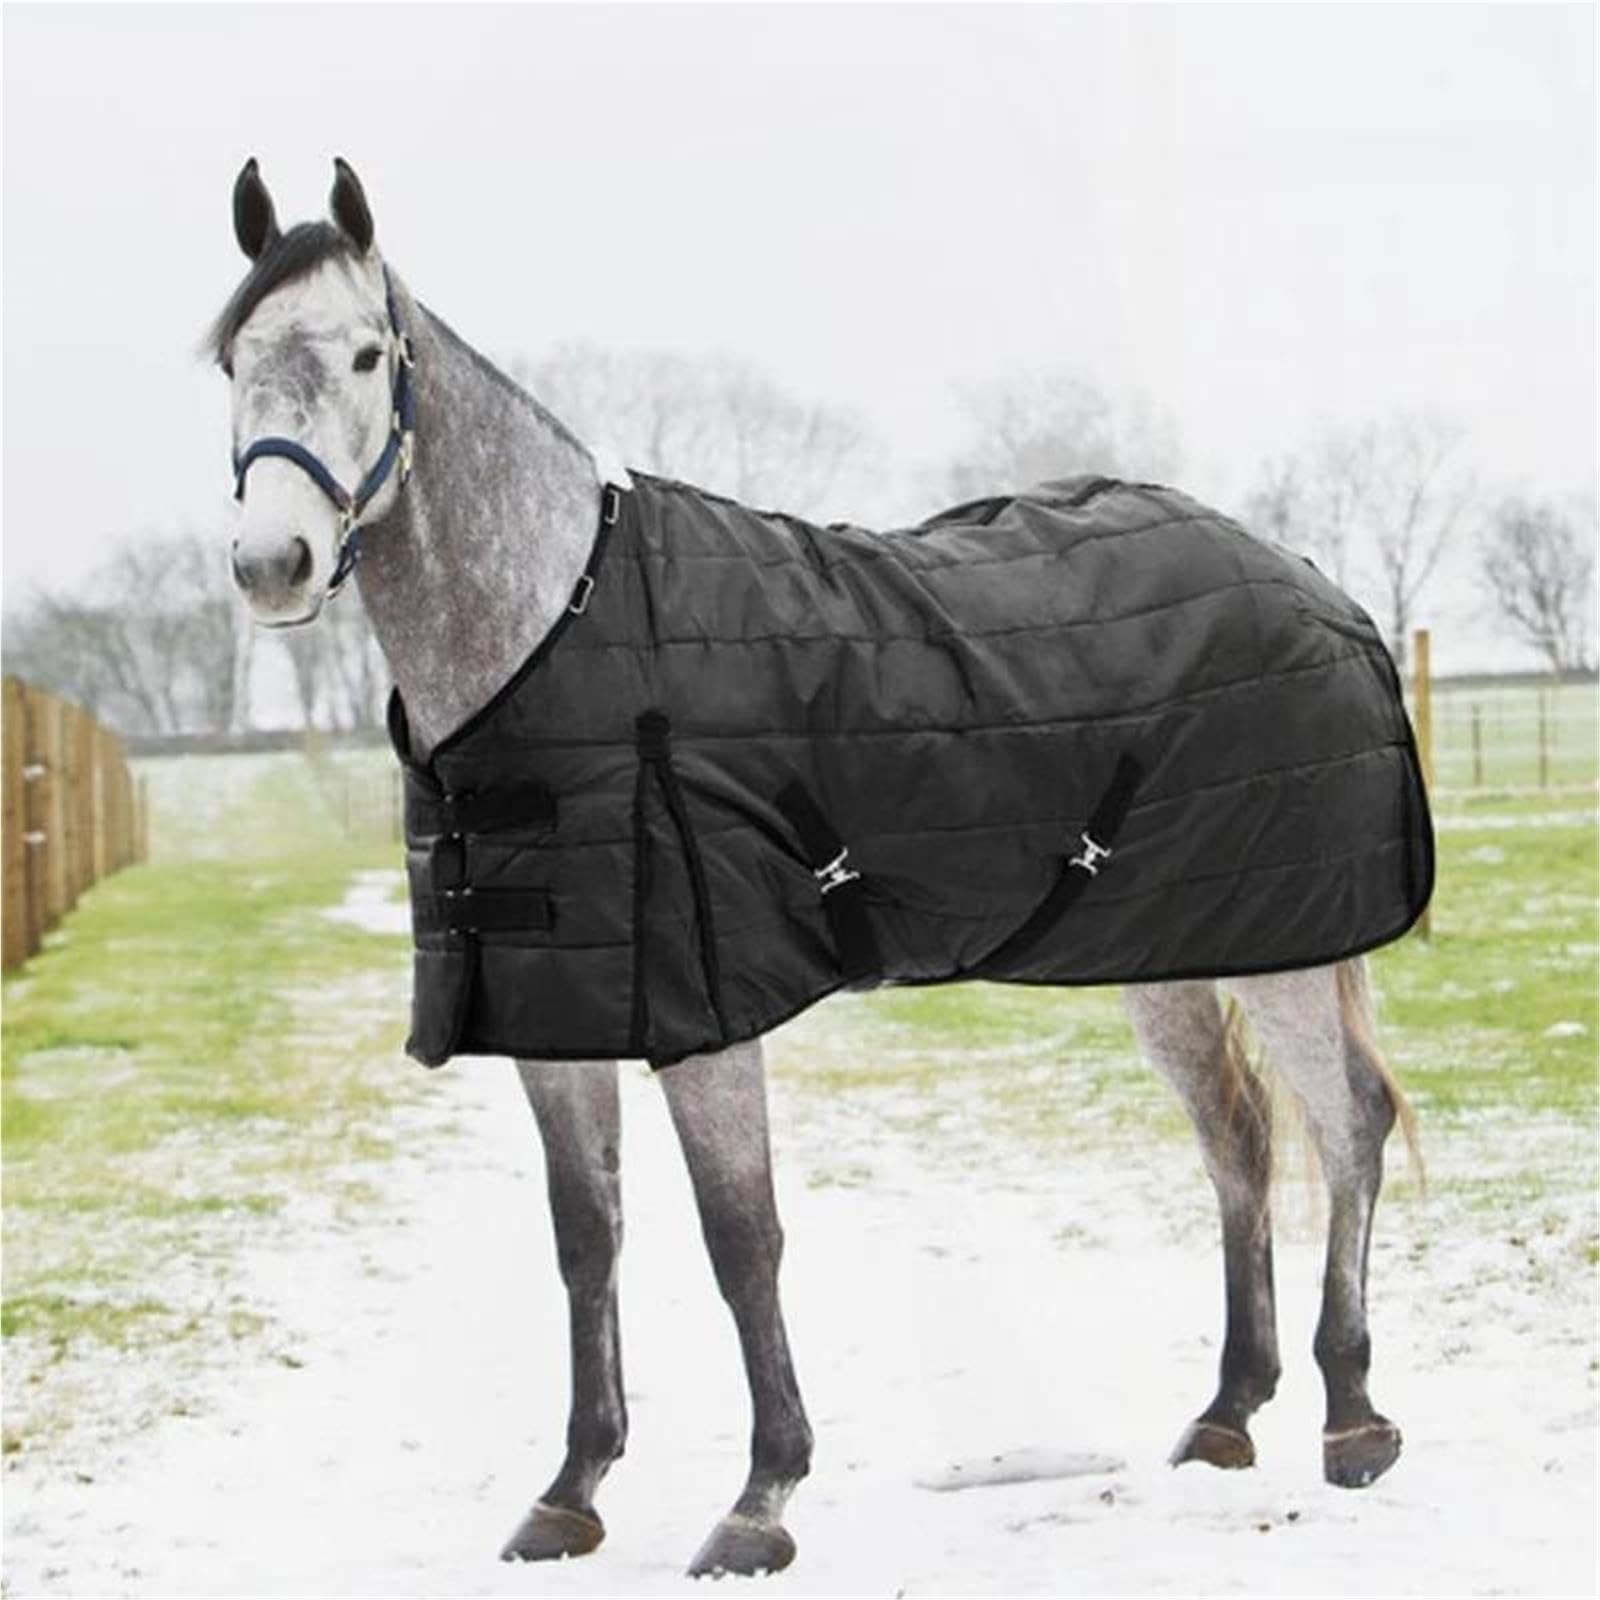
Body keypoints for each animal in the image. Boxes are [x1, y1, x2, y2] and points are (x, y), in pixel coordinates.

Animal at [211, 157, 1420, 1577]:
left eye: (363, 353)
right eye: (232, 357)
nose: (272, 565)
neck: (555, 635)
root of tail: (1316, 585)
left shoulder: (705, 1015)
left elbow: (743, 1239)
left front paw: (760, 1498)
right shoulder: (556, 1019)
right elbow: (586, 1238)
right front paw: (572, 1489)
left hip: (1286, 950)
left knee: (1348, 1123)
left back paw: (1352, 1418)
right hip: (1173, 955)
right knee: (1238, 1137)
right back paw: (1229, 1411)